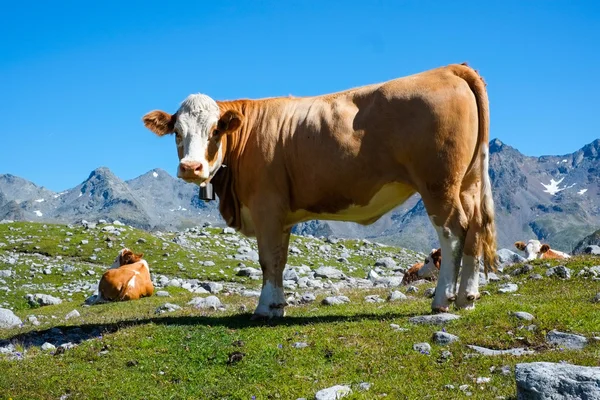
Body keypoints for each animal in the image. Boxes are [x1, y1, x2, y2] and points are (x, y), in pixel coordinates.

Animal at [144, 64, 496, 318]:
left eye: (215, 130)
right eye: (177, 132)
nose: (191, 168)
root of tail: (449, 68)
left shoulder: (266, 205)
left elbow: (267, 259)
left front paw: (264, 309)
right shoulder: (282, 215)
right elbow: (280, 259)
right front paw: (277, 306)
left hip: (438, 184)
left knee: (453, 232)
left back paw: (443, 299)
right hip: (468, 182)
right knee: (476, 229)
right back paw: (467, 297)